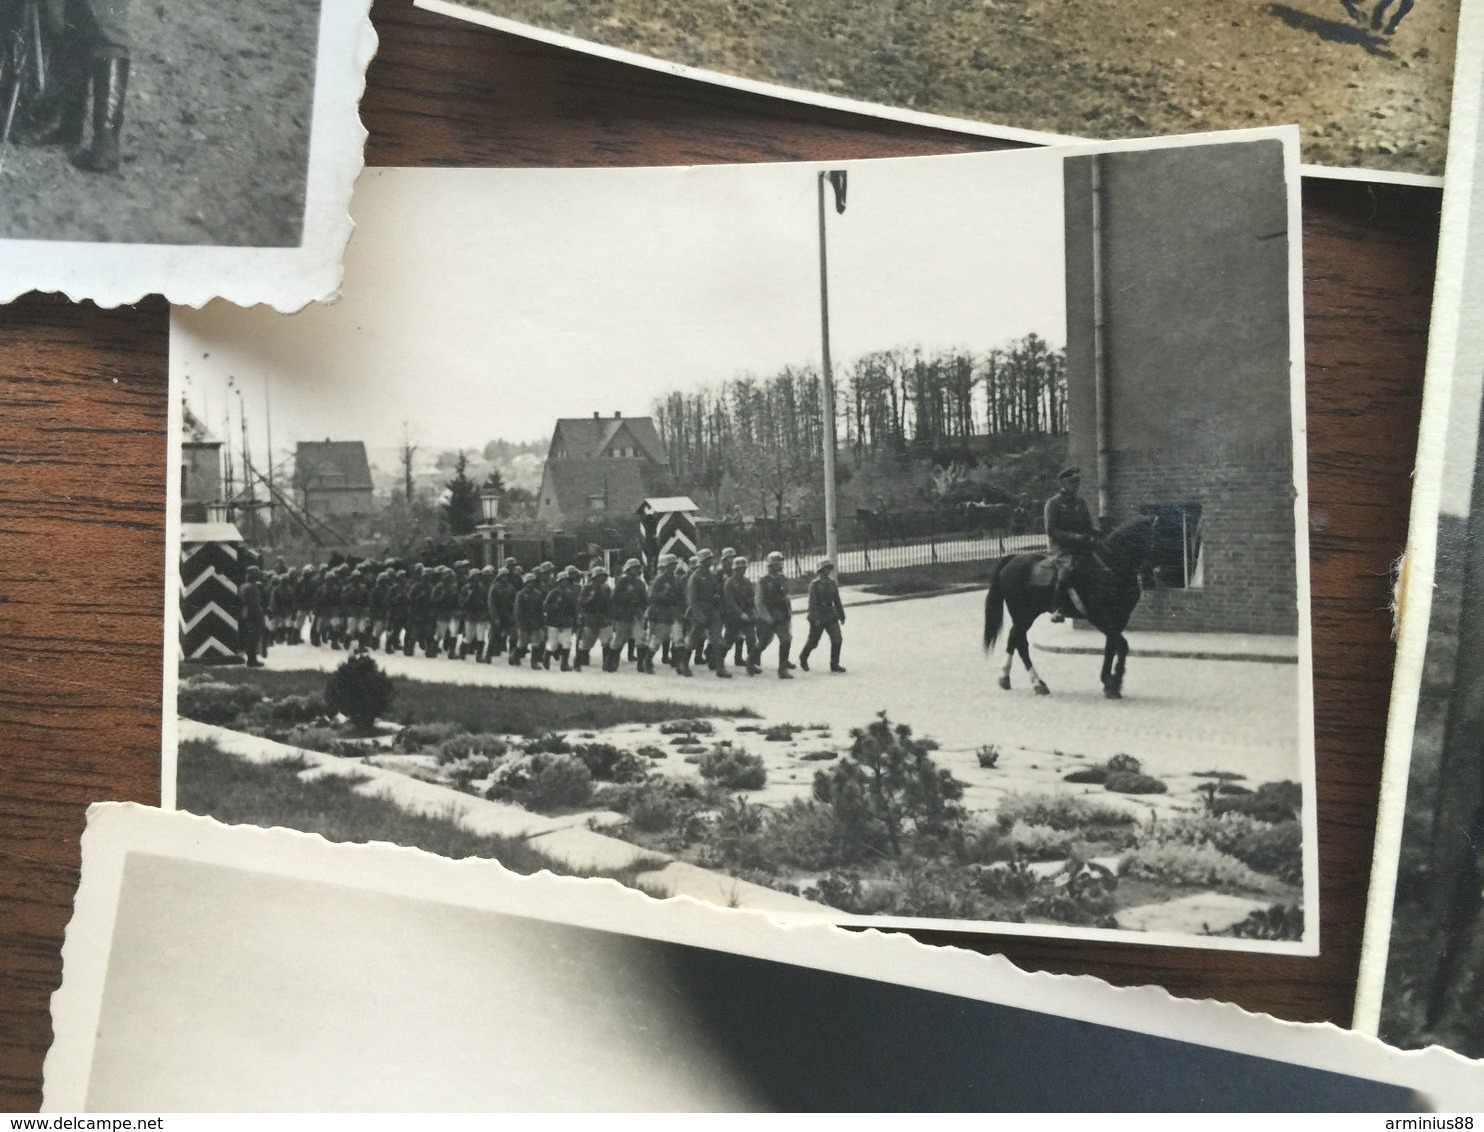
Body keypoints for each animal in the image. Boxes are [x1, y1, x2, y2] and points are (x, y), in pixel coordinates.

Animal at [985, 516, 1157, 700]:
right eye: (1157, 539)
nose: (1149, 580)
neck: (1111, 568)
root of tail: (1012, 558)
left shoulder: (1118, 618)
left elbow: (1112, 646)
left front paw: (1108, 684)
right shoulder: (1098, 617)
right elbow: (1122, 645)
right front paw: (1115, 681)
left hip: (1026, 615)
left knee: (1014, 638)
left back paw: (1009, 679)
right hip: (1023, 614)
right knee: (1020, 642)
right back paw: (1036, 683)